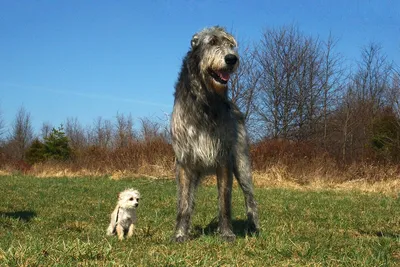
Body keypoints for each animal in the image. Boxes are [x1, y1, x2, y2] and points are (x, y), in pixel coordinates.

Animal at [170, 25, 260, 243]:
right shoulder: (184, 161)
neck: (205, 100)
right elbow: (184, 204)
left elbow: (224, 202)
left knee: (250, 197)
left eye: (231, 45)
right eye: (211, 42)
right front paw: (180, 234)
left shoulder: (224, 159)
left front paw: (226, 233)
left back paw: (254, 227)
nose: (231, 59)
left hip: (242, 163)